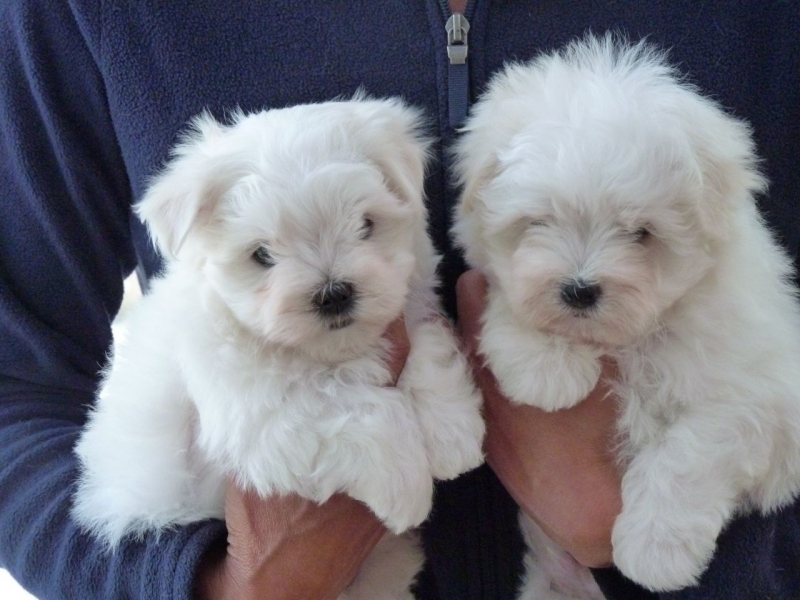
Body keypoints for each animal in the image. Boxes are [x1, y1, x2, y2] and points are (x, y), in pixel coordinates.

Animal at [75, 96, 484, 596]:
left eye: (365, 224)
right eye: (262, 255)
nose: (334, 292)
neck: (329, 353)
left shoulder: (406, 306)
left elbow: (427, 341)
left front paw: (452, 432)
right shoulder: (257, 415)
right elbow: (355, 410)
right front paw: (405, 481)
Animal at [454, 35, 800, 596]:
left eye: (641, 233)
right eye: (538, 221)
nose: (579, 290)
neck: (632, 338)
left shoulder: (760, 396)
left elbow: (693, 452)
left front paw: (656, 549)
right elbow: (514, 298)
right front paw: (545, 367)